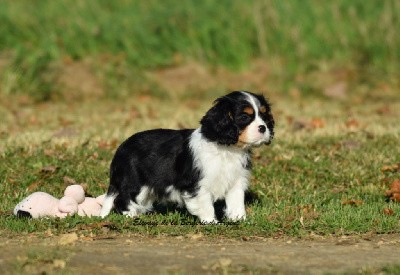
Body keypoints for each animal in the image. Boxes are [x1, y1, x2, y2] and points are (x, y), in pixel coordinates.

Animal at [101, 91, 276, 223]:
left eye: (264, 116)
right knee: (122, 199)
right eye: (244, 117)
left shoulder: (236, 180)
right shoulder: (197, 183)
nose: (263, 128)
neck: (227, 149)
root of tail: (121, 147)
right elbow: (205, 204)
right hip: (134, 182)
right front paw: (211, 222)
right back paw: (131, 216)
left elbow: (236, 202)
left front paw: (239, 220)